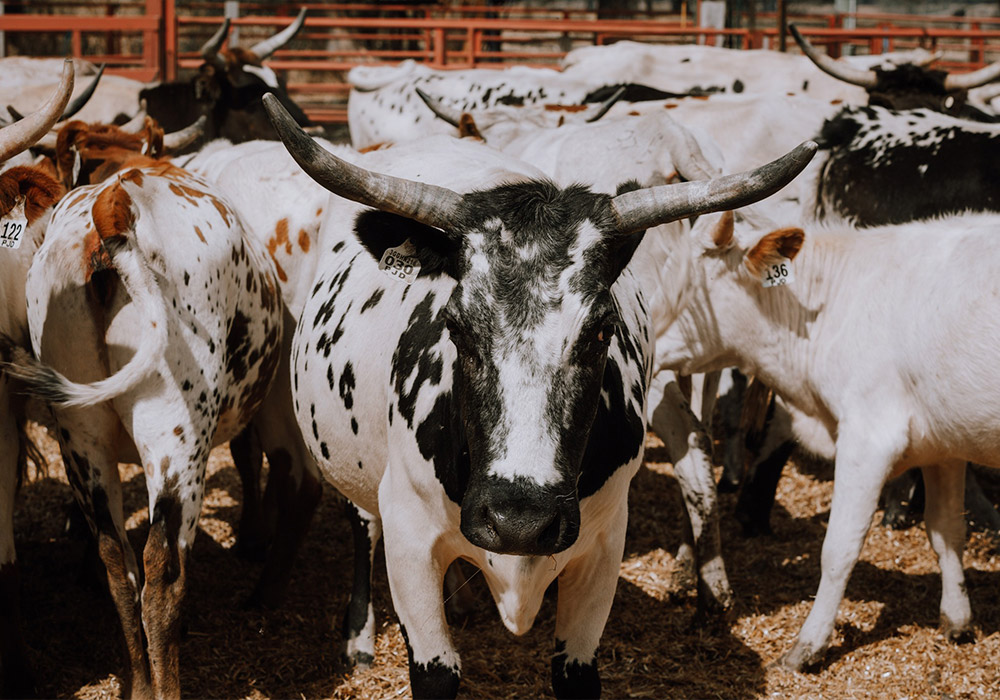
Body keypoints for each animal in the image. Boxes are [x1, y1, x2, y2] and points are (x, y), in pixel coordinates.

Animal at [262, 94, 816, 700]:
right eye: (456, 325)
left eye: (601, 331)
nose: (519, 521)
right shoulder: (408, 543)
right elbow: (435, 672)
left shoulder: (602, 548)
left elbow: (576, 674)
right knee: (363, 529)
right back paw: (360, 637)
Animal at [648, 206, 1000, 672]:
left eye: (686, 286)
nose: (638, 340)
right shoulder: (943, 443)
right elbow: (946, 531)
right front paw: (957, 621)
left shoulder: (869, 437)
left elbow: (838, 549)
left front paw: (807, 647)